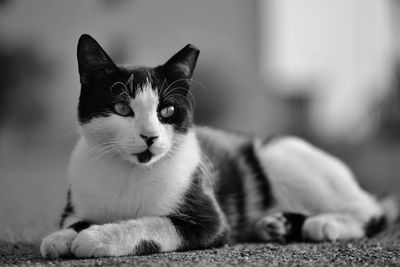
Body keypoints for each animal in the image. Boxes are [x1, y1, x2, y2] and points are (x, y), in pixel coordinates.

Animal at [40, 34, 396, 260]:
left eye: (167, 110)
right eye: (122, 108)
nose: (150, 136)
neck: (129, 173)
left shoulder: (210, 221)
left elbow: (154, 223)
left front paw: (98, 237)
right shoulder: (77, 204)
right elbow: (73, 223)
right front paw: (61, 238)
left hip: (281, 159)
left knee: (371, 211)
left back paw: (324, 223)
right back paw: (275, 225)